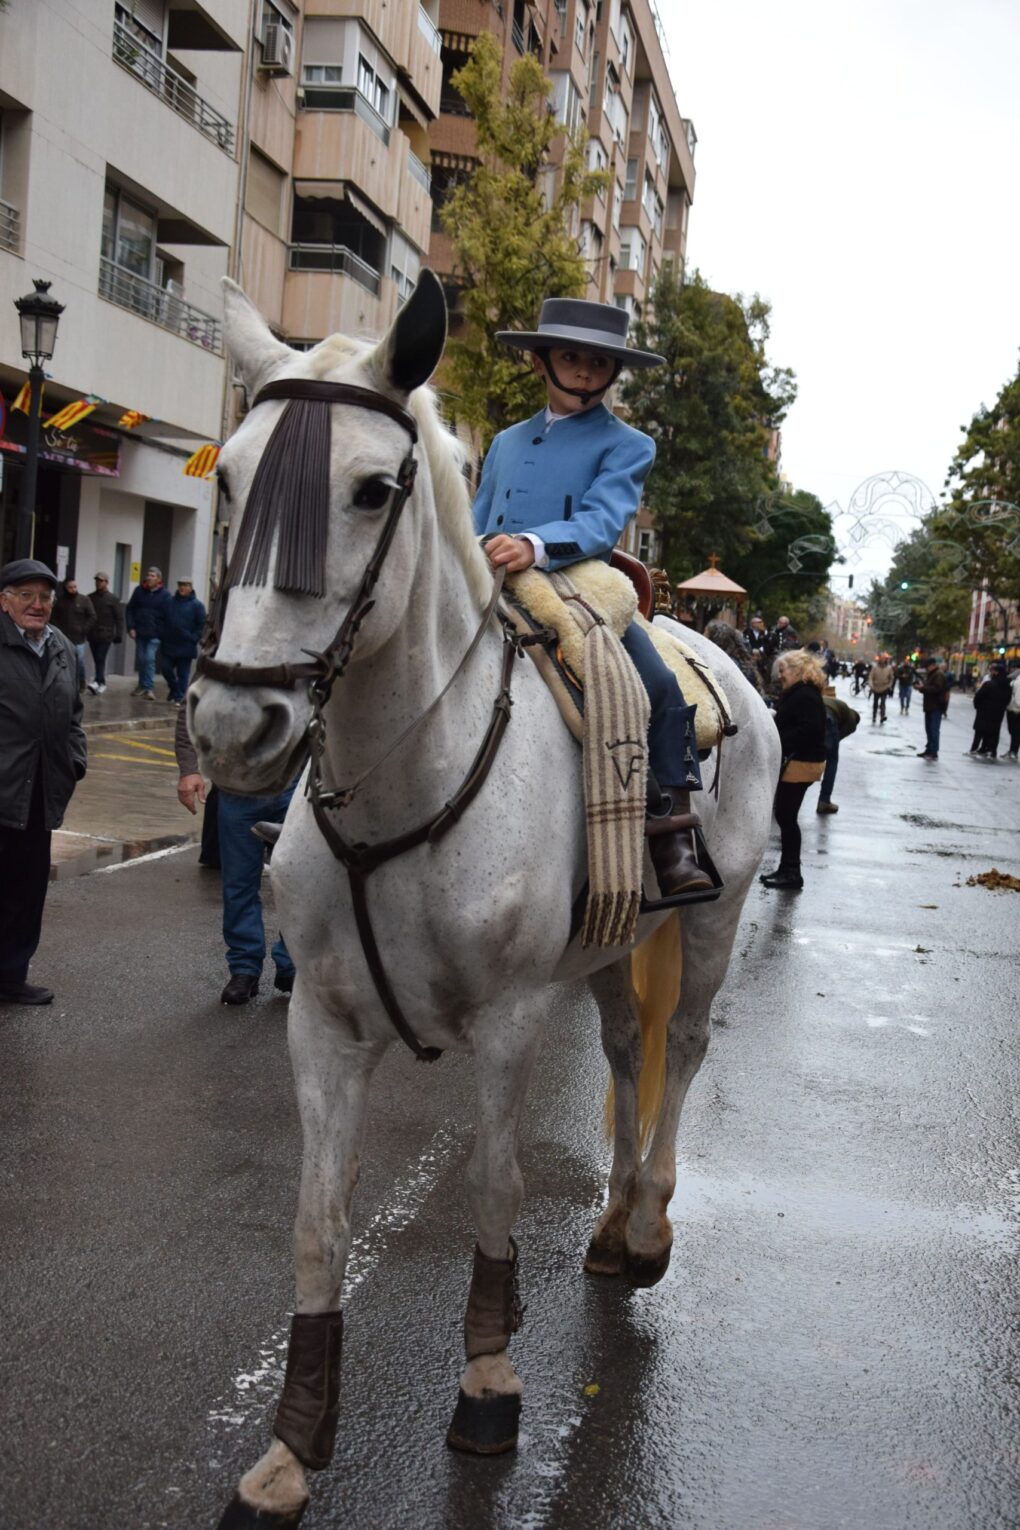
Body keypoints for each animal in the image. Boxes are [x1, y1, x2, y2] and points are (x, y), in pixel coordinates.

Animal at [195, 275, 776, 1530]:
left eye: (373, 489)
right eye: (229, 478)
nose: (231, 725)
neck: (403, 772)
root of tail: (718, 646)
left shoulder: (508, 1023)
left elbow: (497, 1187)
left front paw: (489, 1383)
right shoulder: (323, 1024)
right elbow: (318, 1220)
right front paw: (290, 1450)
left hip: (709, 920)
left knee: (682, 1049)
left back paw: (646, 1226)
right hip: (610, 949)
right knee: (626, 1046)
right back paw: (609, 1223)